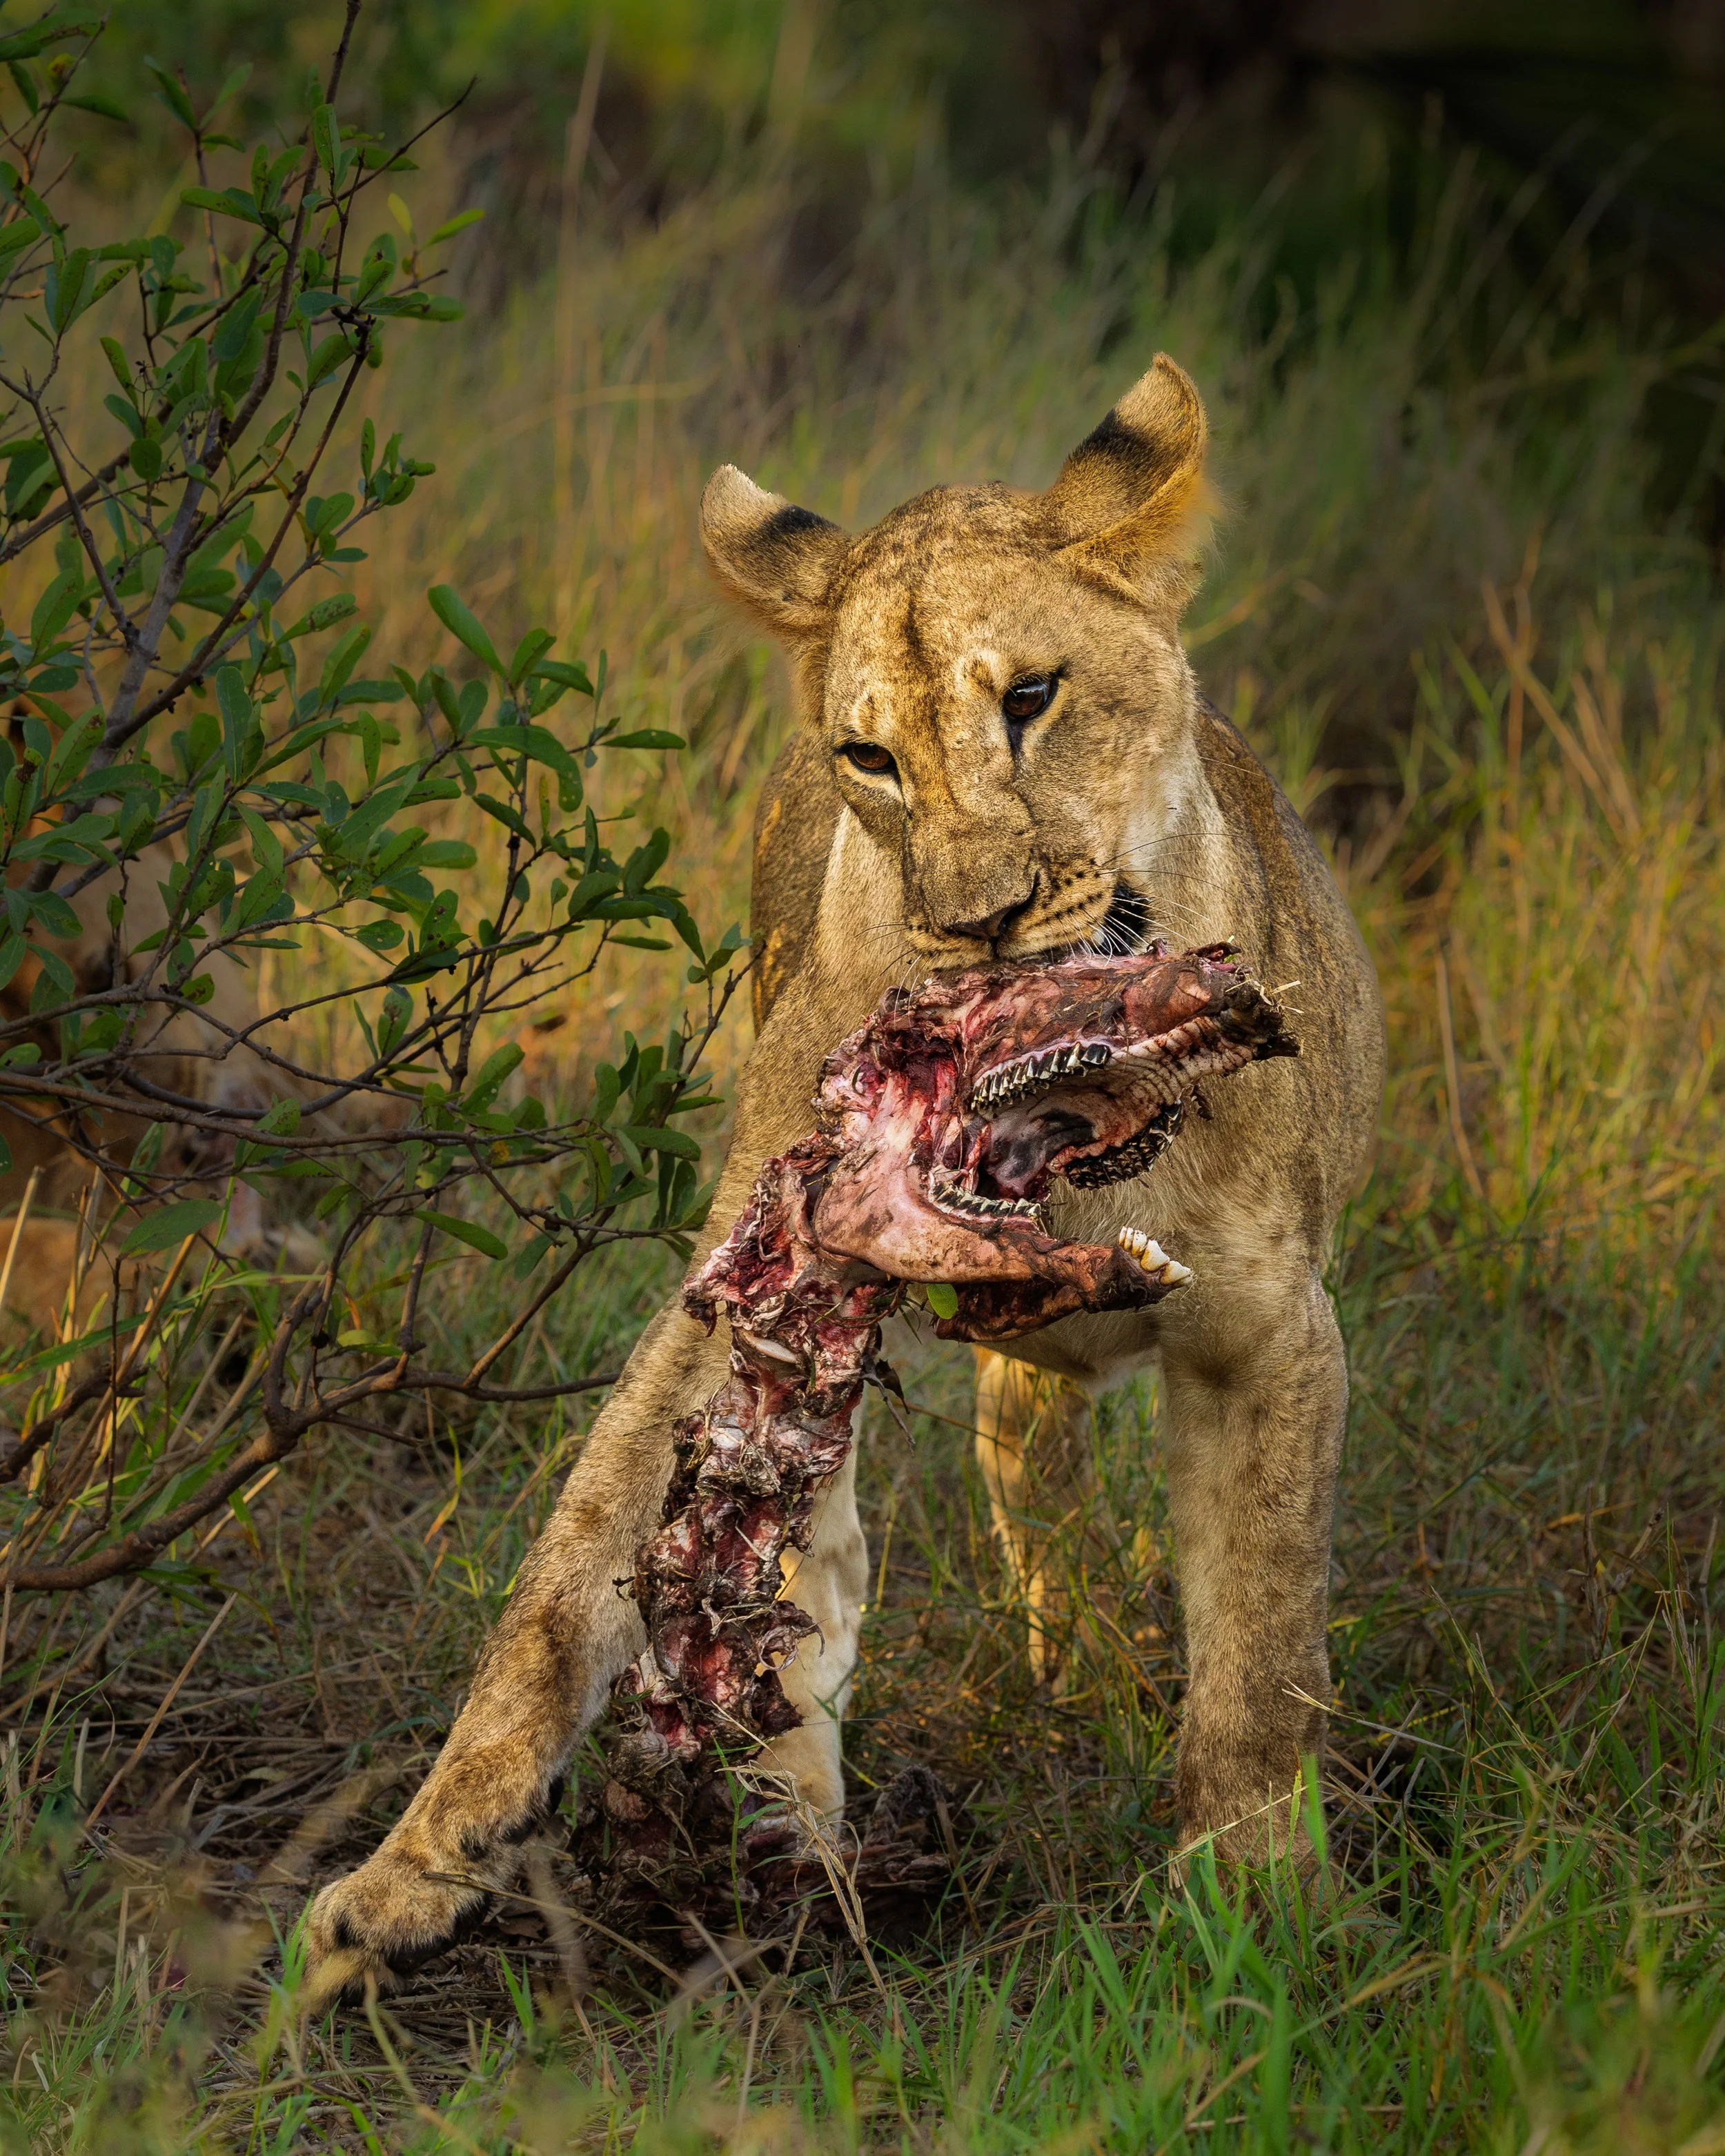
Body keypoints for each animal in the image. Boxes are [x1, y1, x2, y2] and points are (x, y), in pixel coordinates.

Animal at [305, 355, 1387, 2001]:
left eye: (1032, 698)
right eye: (870, 756)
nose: (983, 920)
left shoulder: (1272, 1330)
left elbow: (1264, 1649)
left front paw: (1264, 1906)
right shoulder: (750, 1276)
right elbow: (565, 1575)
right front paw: (409, 1870)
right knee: (979, 1477)